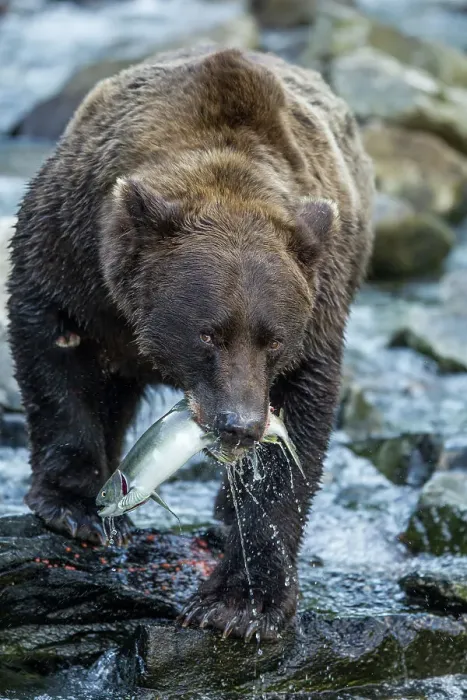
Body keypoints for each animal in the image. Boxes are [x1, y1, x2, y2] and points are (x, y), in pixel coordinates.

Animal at [7, 45, 374, 641]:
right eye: (209, 333)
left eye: (272, 340)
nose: (239, 425)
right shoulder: (75, 253)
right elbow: (55, 352)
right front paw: (73, 505)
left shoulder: (320, 307)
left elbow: (296, 438)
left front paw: (240, 604)